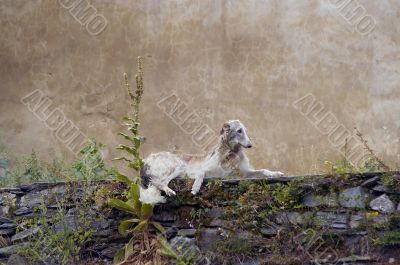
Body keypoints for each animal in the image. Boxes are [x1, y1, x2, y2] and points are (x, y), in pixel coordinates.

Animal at [139, 119, 282, 204]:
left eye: (246, 131)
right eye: (239, 131)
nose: (250, 145)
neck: (231, 153)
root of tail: (146, 159)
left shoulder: (245, 173)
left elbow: (263, 170)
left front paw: (276, 173)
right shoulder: (198, 170)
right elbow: (201, 174)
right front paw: (195, 188)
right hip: (178, 165)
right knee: (159, 182)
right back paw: (169, 191)